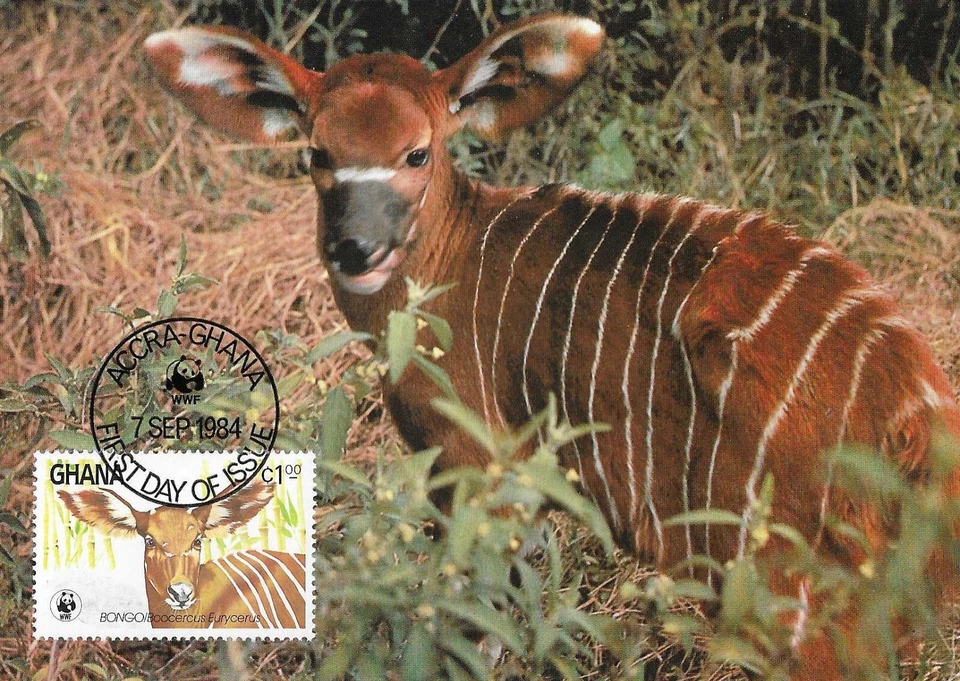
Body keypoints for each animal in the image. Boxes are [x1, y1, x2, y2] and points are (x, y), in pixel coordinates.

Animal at [143, 14, 960, 676]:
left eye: (418, 153)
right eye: (317, 152)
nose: (356, 248)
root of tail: (916, 418)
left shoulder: (475, 462)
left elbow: (471, 622)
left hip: (782, 590)